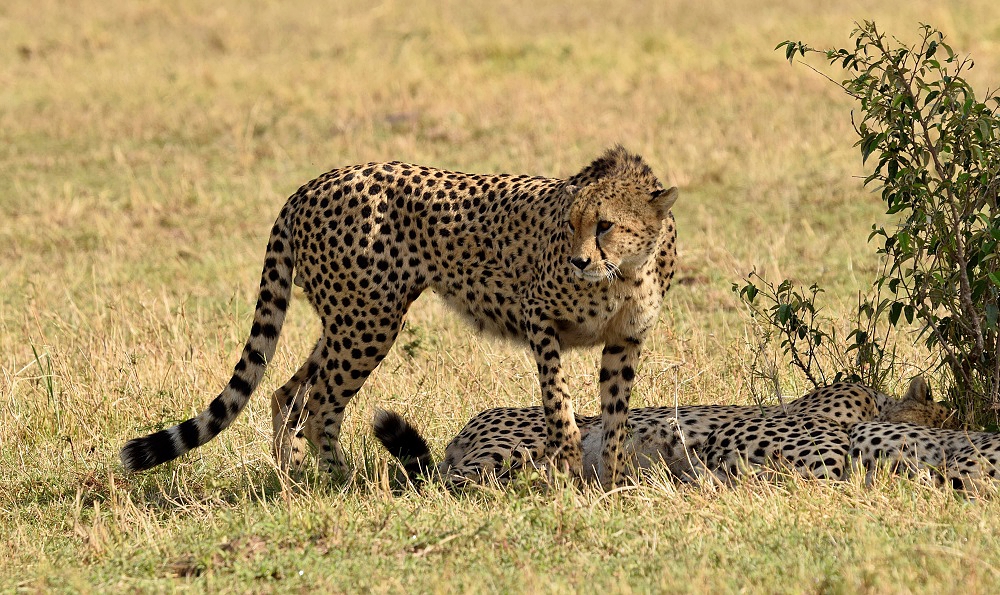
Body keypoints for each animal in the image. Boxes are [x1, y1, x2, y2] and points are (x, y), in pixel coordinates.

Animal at [119, 147, 680, 486]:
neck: (626, 272)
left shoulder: (623, 343)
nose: (579, 261)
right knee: (320, 401)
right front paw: (568, 477)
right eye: (571, 224)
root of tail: (312, 184)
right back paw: (339, 480)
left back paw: (294, 479)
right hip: (370, 322)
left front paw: (614, 483)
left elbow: (616, 417)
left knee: (287, 392)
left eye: (605, 225)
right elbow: (560, 406)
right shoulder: (538, 319)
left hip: (348, 320)